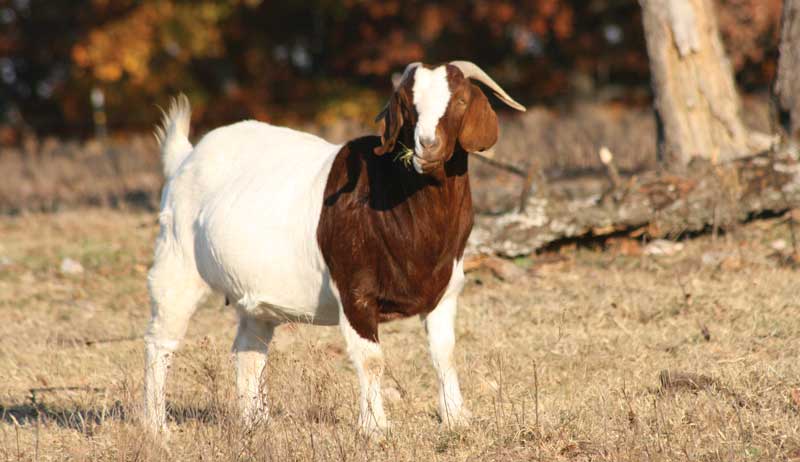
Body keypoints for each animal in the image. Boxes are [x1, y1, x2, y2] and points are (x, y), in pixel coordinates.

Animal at [144, 61, 525, 436]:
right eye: (407, 106)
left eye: (460, 100)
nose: (427, 147)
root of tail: (185, 157)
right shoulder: (355, 291)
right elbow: (371, 360)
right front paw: (375, 427)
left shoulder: (446, 290)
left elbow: (444, 353)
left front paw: (457, 417)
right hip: (177, 264)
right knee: (160, 342)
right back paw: (157, 427)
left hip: (252, 294)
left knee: (249, 349)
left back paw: (257, 424)